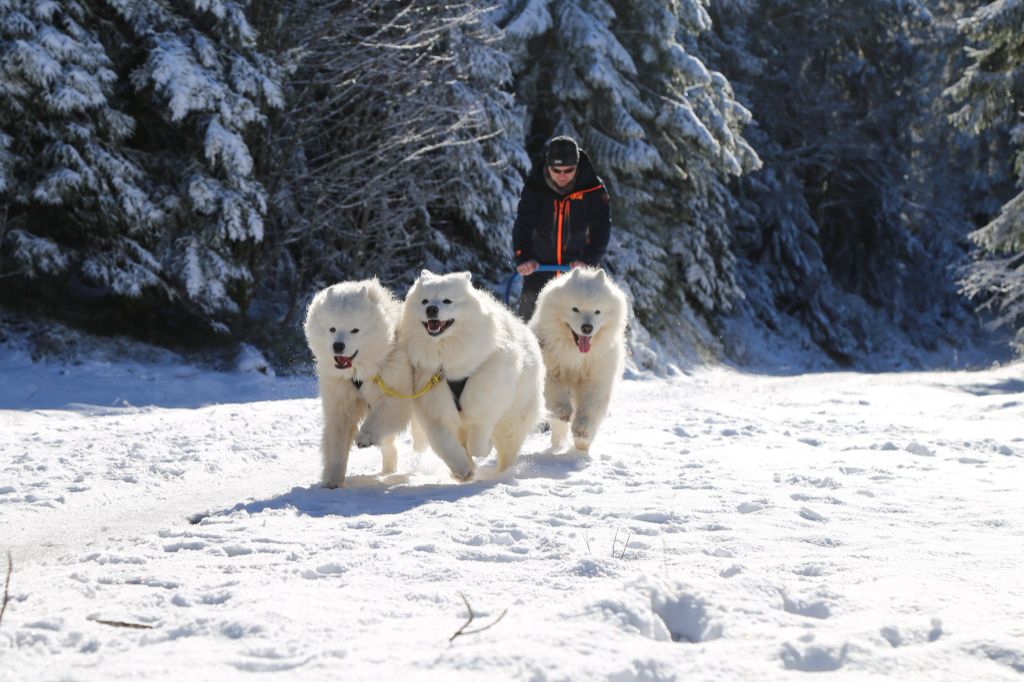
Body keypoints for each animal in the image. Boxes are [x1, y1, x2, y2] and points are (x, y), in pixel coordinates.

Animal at [301, 278, 413, 485]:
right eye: (332, 328)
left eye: (355, 330)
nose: (338, 346)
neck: (359, 373)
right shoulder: (340, 400)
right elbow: (337, 442)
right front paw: (333, 480)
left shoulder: (396, 393)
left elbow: (379, 416)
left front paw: (364, 437)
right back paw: (388, 470)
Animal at [397, 270, 548, 477]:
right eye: (424, 301)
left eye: (447, 301)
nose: (431, 309)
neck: (445, 362)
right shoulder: (433, 403)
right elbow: (443, 442)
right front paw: (462, 469)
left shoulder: (486, 394)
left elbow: (479, 434)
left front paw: (482, 450)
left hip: (514, 416)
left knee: (508, 444)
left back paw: (504, 471)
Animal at [532, 266, 626, 450]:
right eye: (575, 309)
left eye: (597, 311)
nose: (587, 328)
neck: (576, 355)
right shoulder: (549, 366)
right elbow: (554, 390)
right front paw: (564, 411)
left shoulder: (596, 378)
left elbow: (589, 407)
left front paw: (582, 431)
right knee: (558, 426)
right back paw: (558, 444)